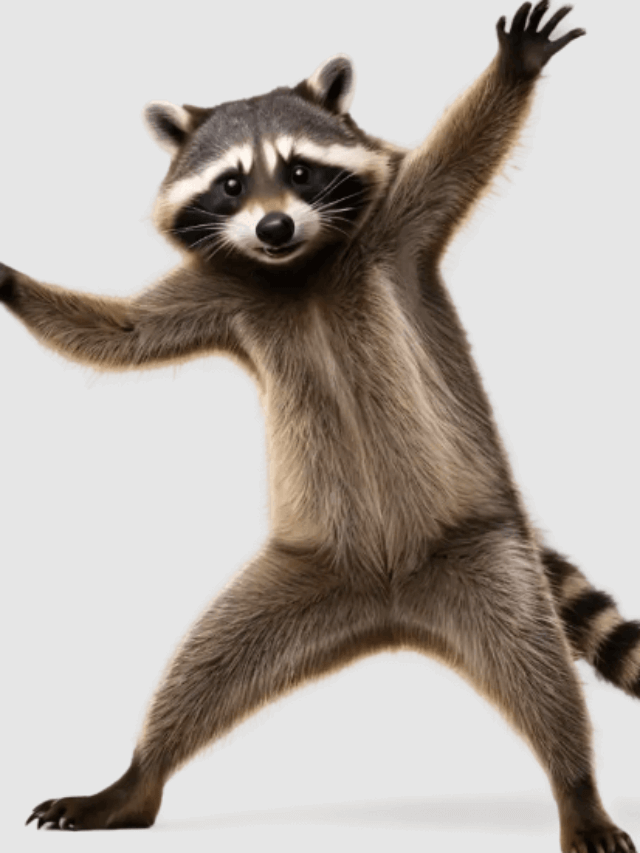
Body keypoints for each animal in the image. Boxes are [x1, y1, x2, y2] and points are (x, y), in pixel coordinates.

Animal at [1, 2, 636, 851]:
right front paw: (15, 285)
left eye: (300, 170)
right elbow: (124, 333)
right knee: (204, 666)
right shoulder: (217, 293)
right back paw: (138, 776)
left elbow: (457, 160)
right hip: (300, 575)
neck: (297, 272)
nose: (272, 226)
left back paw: (578, 786)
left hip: (487, 552)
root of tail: (394, 604)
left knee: (543, 674)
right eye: (231, 183)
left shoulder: (395, 228)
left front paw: (513, 70)